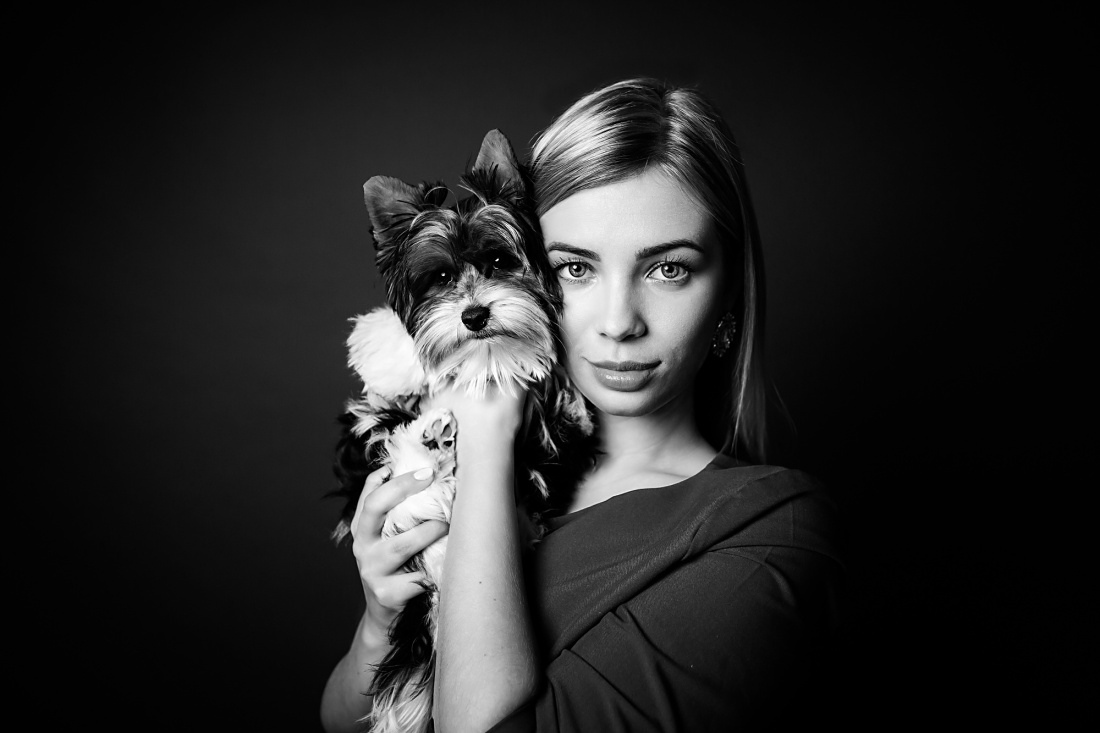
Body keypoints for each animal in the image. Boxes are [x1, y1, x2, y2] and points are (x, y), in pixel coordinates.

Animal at [330, 129, 594, 733]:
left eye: (498, 261)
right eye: (442, 278)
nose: (474, 316)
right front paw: (388, 350)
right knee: (399, 453)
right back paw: (432, 438)